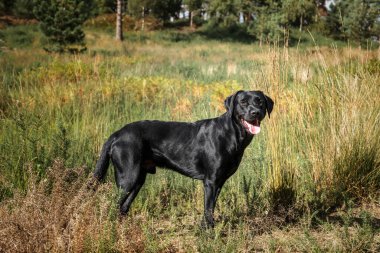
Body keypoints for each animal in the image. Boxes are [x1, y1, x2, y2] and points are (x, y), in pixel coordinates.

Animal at [94, 90, 274, 226]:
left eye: (260, 102)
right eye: (243, 102)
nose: (255, 112)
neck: (231, 134)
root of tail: (117, 134)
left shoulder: (219, 182)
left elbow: (211, 208)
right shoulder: (210, 181)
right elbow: (208, 209)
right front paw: (208, 233)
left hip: (138, 179)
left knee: (123, 206)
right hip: (128, 178)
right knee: (113, 204)